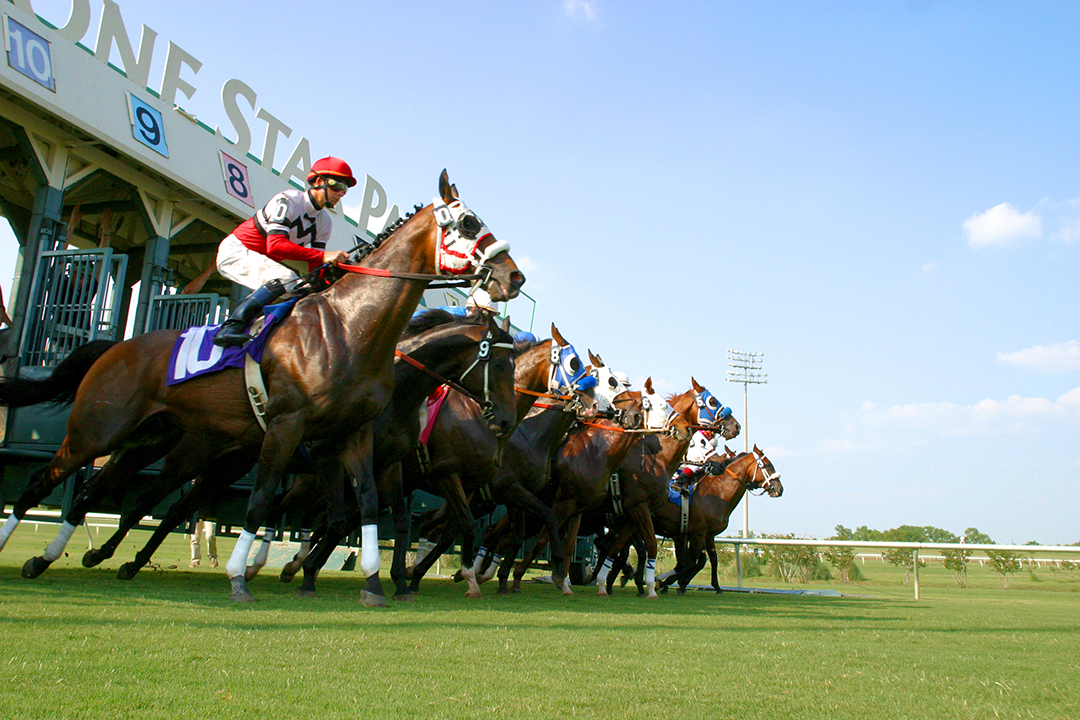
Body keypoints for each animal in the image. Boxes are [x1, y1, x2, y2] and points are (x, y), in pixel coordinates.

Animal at [0, 170, 524, 604]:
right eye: (470, 223)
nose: (513, 276)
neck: (351, 327)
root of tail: (118, 346)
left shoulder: (353, 436)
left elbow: (369, 507)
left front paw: (375, 582)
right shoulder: (289, 428)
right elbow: (262, 501)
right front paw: (242, 577)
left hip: (154, 440)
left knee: (108, 493)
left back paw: (63, 557)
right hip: (101, 429)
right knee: (46, 480)